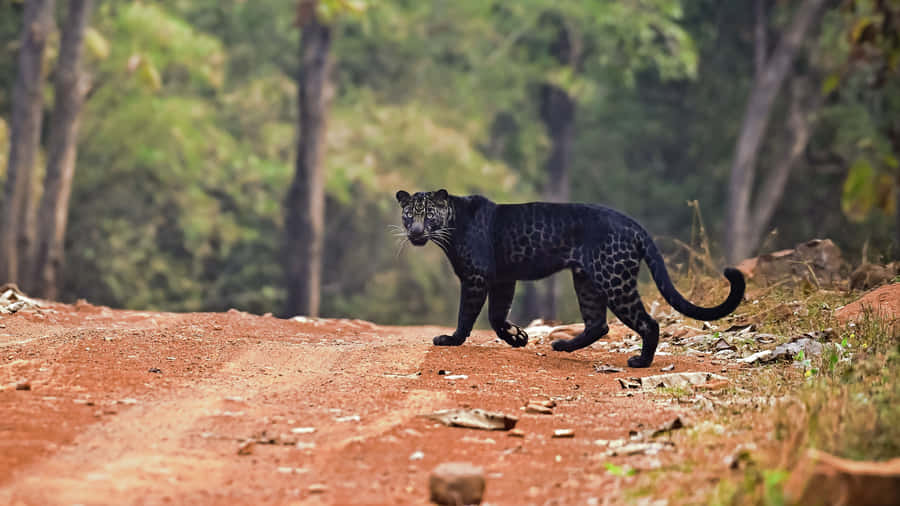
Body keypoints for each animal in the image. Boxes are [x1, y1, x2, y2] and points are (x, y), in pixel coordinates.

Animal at [395, 189, 745, 368]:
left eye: (428, 214)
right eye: (409, 215)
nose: (415, 231)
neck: (451, 227)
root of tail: (633, 224)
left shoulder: (477, 277)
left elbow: (468, 314)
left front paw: (451, 339)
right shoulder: (504, 279)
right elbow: (496, 315)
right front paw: (517, 337)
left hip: (613, 280)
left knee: (648, 323)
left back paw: (640, 362)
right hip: (586, 281)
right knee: (598, 324)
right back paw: (564, 346)